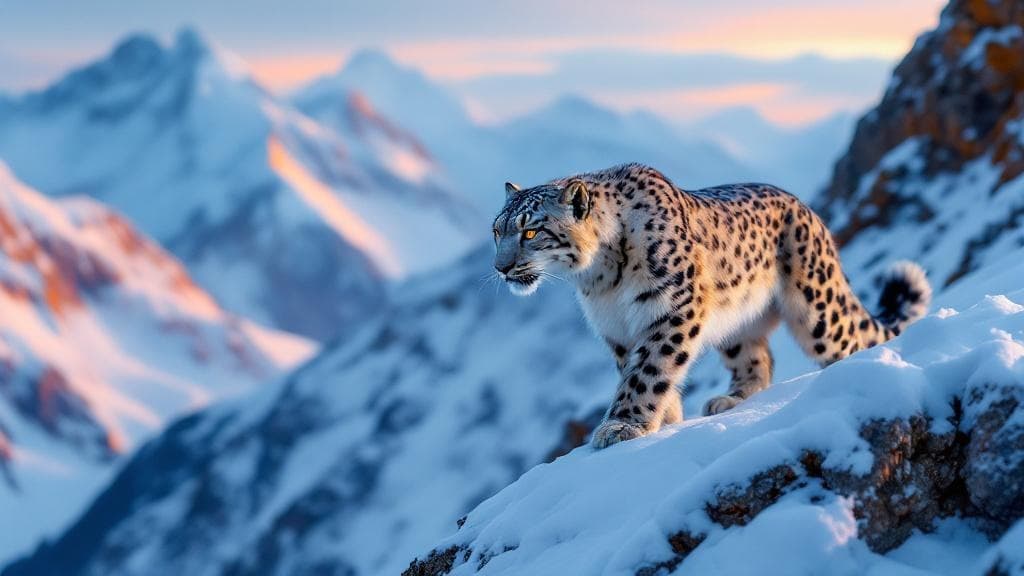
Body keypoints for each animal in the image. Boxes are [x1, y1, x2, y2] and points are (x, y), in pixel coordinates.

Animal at [492, 163, 931, 449]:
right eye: (497, 230)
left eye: (531, 231)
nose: (501, 267)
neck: (600, 279)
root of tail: (808, 210)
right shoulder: (617, 330)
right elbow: (639, 372)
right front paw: (667, 421)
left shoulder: (671, 308)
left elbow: (649, 370)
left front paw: (622, 426)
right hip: (736, 323)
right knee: (759, 360)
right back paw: (730, 400)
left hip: (818, 310)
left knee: (849, 341)